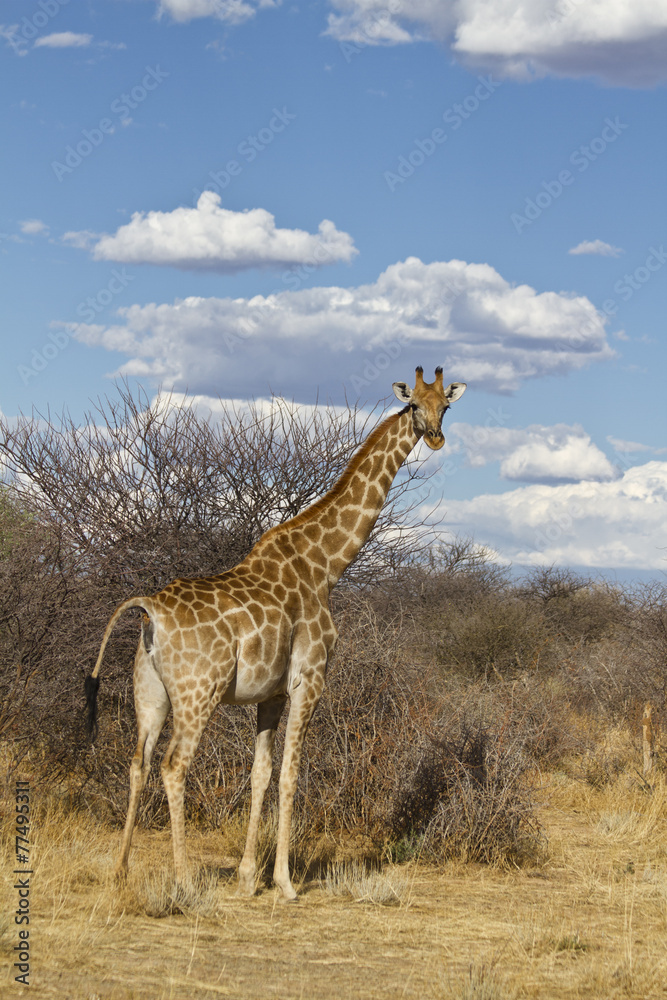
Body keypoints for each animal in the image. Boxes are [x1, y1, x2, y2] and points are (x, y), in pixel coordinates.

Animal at [85, 367, 466, 900]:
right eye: (413, 404)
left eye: (445, 407)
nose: (434, 437)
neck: (326, 566)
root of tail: (149, 610)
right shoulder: (309, 678)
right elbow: (290, 773)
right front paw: (284, 882)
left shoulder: (268, 693)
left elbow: (261, 772)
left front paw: (248, 877)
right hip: (198, 692)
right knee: (174, 765)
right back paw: (184, 881)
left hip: (151, 693)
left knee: (138, 762)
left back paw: (120, 872)